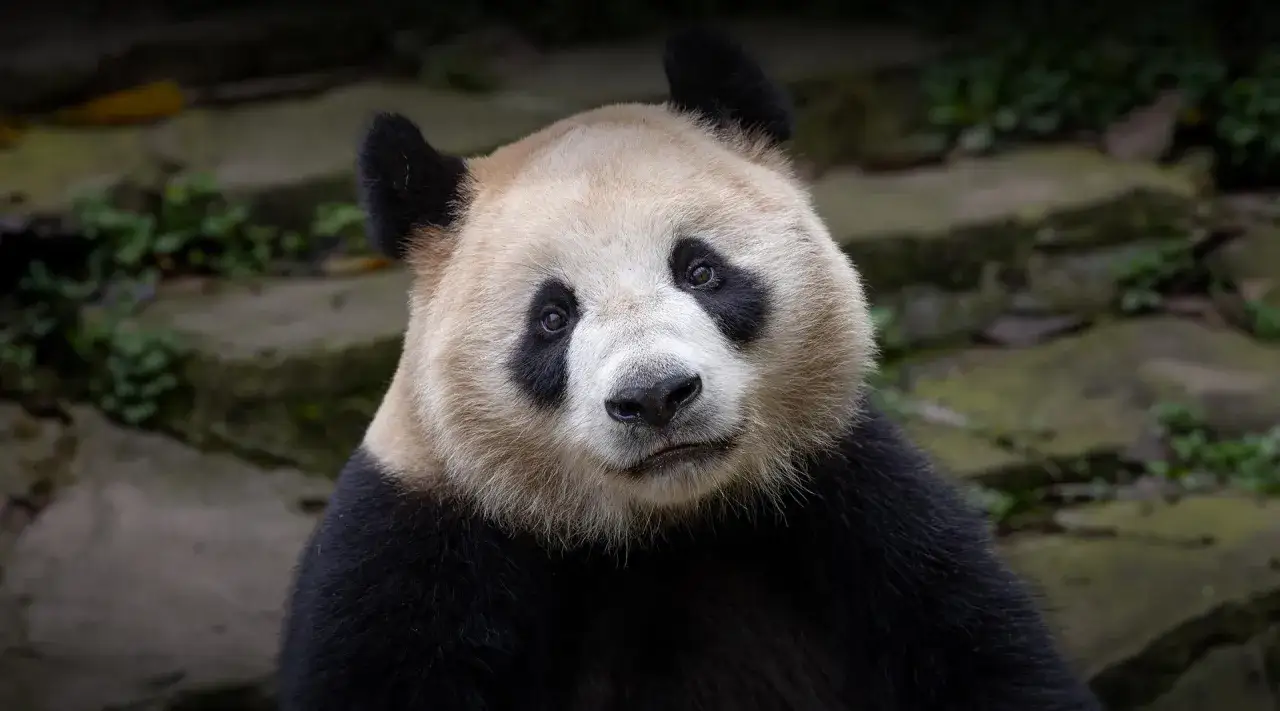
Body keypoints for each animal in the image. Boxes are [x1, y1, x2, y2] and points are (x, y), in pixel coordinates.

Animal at [277, 27, 1101, 711]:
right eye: (552, 317)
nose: (655, 396)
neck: (663, 527)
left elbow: (982, 651)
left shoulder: (856, 504)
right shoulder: (417, 551)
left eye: (700, 270)